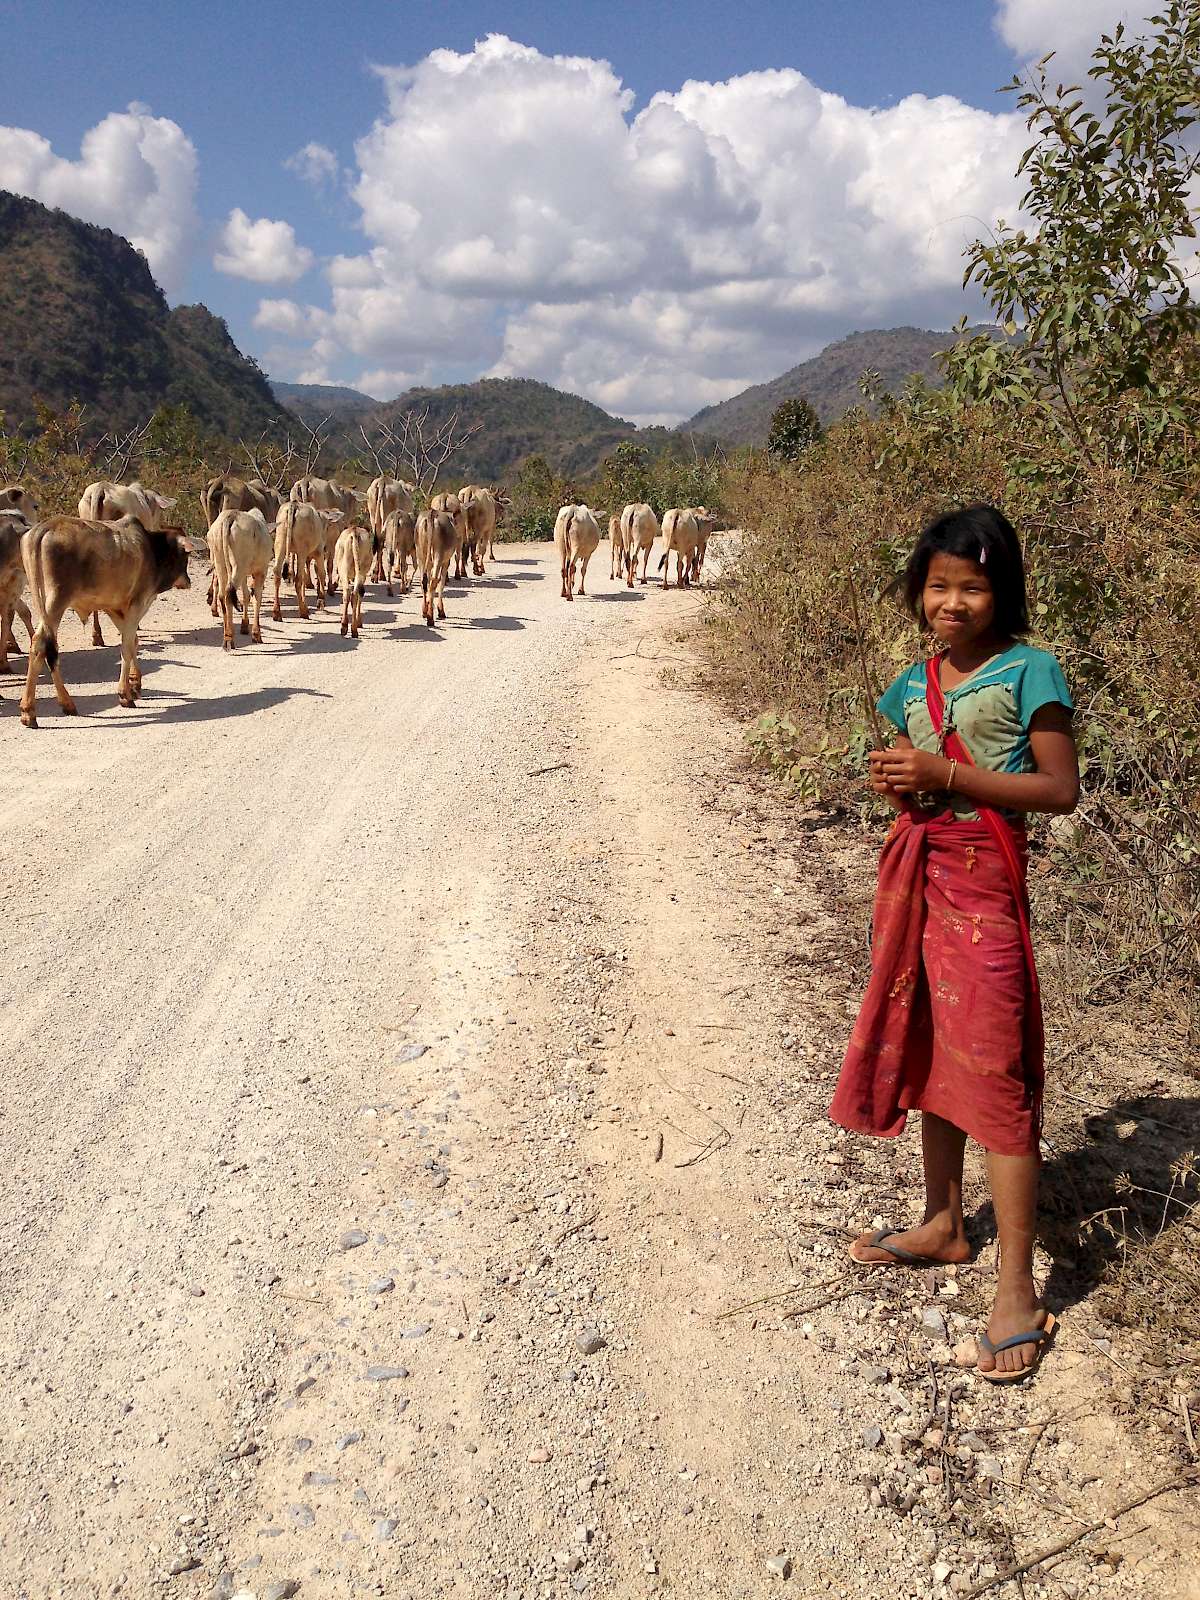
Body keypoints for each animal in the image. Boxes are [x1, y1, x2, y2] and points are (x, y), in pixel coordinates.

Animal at [19, 515, 190, 729]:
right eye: (185, 556)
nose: (188, 581)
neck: (152, 550)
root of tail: (44, 527)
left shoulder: (114, 608)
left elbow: (133, 642)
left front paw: (135, 683)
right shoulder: (138, 603)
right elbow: (126, 647)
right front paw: (125, 694)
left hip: (44, 604)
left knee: (44, 647)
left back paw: (57, 706)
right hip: (56, 601)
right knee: (42, 645)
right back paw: (36, 710)